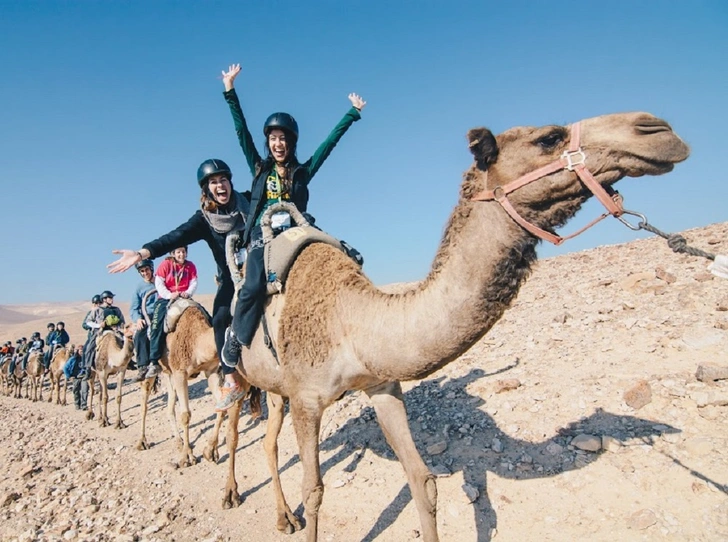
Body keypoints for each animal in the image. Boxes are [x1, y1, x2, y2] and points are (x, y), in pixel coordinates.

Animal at [223, 111, 688, 542]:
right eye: (549, 138)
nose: (658, 128)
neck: (352, 321)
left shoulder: (380, 384)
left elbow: (423, 481)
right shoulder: (307, 400)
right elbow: (315, 489)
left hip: (275, 388)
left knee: (269, 440)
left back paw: (283, 516)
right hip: (236, 377)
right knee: (233, 427)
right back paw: (232, 493)